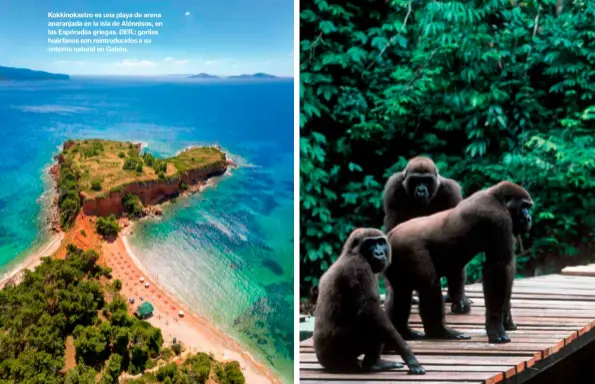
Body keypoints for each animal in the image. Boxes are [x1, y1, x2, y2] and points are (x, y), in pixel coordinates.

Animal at [314, 228, 426, 376]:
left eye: (381, 242)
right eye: (370, 244)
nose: (379, 252)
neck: (351, 253)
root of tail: (322, 360)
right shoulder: (359, 268)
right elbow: (371, 313)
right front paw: (408, 355)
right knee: (372, 324)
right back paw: (372, 365)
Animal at [384, 156, 472, 316]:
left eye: (426, 181)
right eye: (415, 181)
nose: (420, 190)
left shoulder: (451, 191)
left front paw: (459, 297)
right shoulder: (393, 188)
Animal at [386, 182, 536, 344]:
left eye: (529, 207)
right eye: (524, 206)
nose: (529, 218)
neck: (496, 198)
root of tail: (390, 235)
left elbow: (506, 270)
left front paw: (506, 319)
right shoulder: (498, 219)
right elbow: (498, 267)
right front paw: (496, 326)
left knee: (401, 292)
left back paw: (403, 331)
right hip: (410, 249)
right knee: (429, 286)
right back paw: (439, 331)